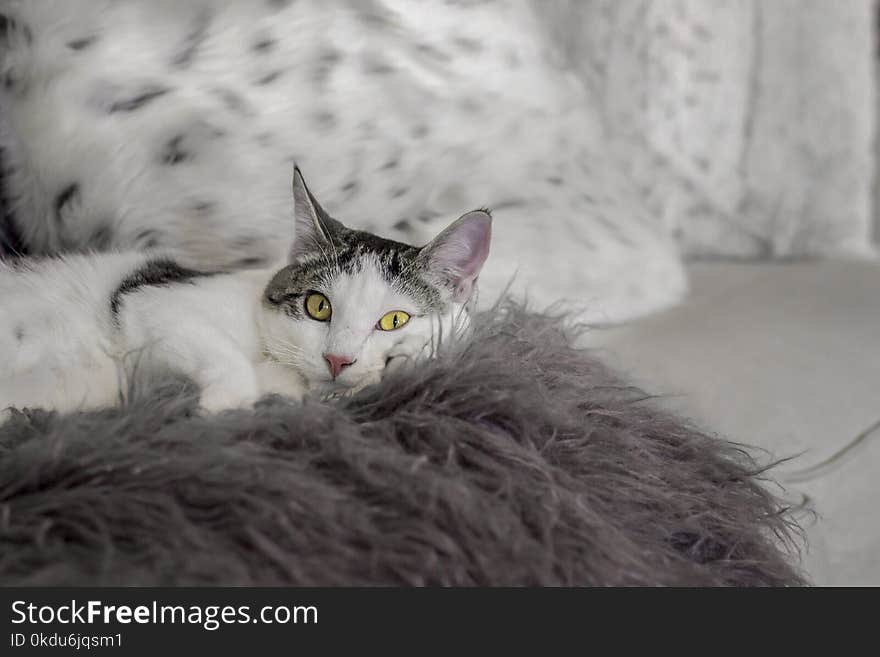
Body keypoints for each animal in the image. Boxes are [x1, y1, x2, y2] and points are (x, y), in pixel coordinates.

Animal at [0, 167, 496, 418]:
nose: (338, 360)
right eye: (318, 306)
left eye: (394, 320)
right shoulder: (149, 297)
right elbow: (218, 351)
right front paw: (226, 404)